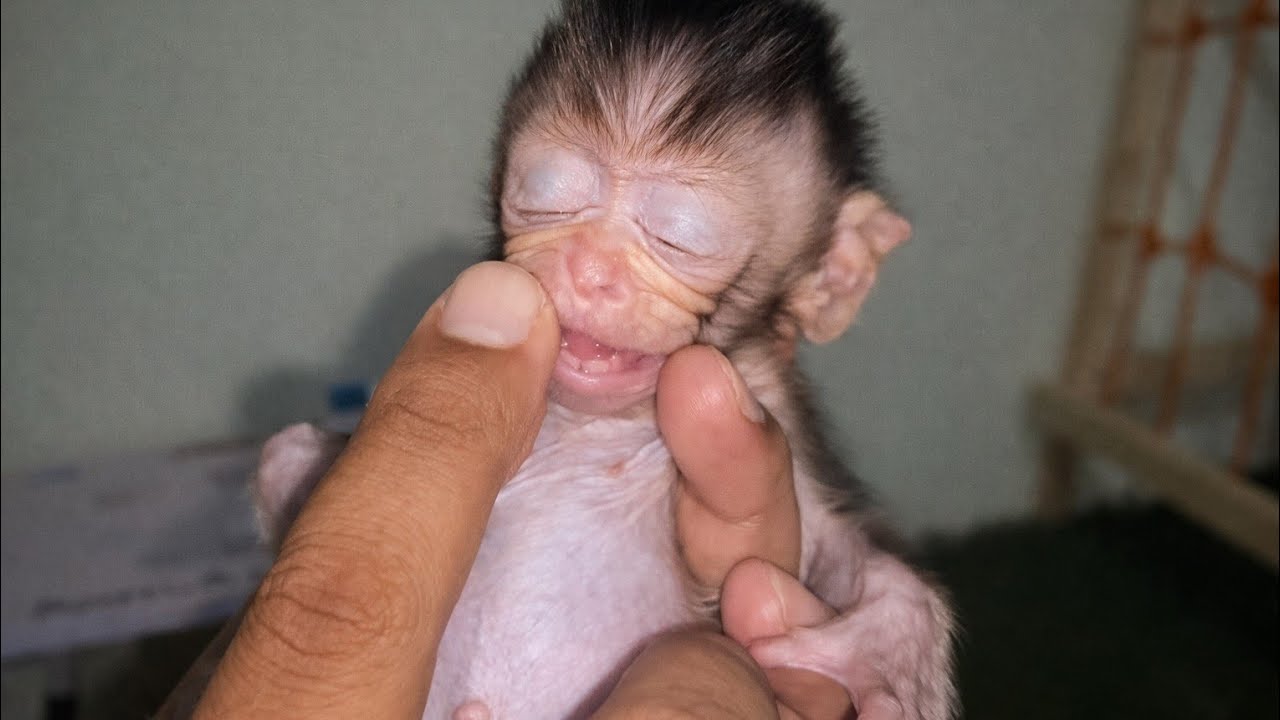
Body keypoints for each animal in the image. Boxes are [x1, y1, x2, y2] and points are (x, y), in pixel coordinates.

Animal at [252, 1, 955, 718]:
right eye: (546, 200)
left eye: (679, 239)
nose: (589, 269)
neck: (590, 425)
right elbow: (284, 454)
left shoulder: (777, 425)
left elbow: (870, 570)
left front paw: (887, 653)